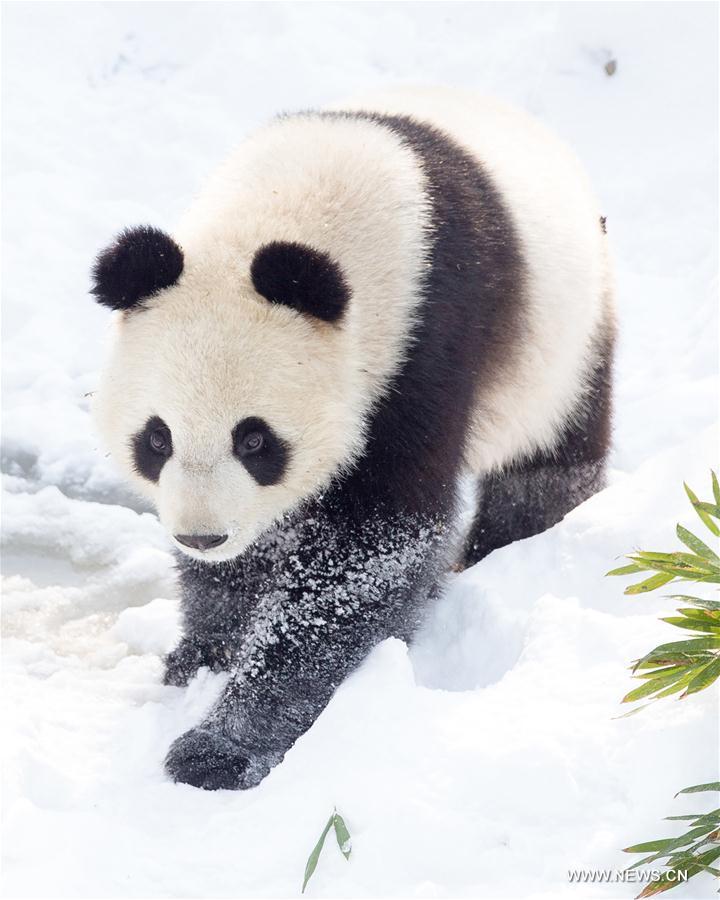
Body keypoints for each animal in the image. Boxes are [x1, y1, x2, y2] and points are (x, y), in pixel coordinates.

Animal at [93, 86, 616, 788]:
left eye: (255, 441)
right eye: (157, 439)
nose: (202, 537)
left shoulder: (424, 345)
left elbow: (371, 552)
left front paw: (219, 750)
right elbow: (262, 554)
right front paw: (203, 657)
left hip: (567, 343)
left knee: (549, 465)